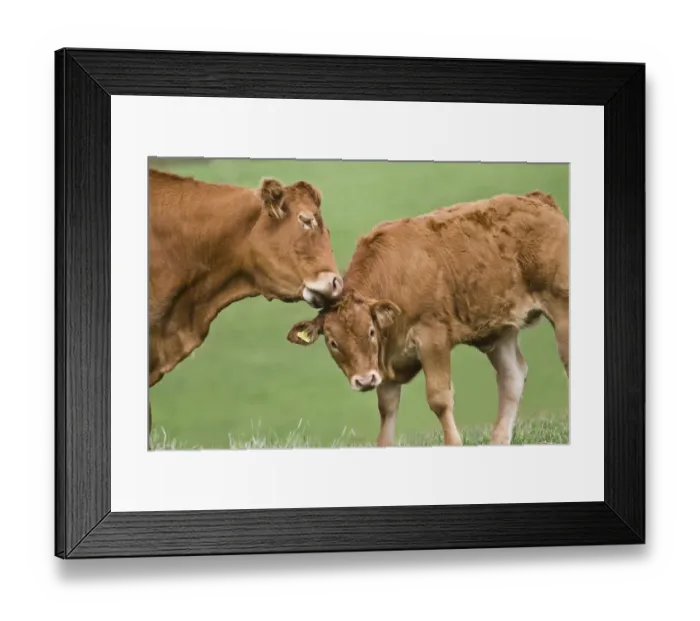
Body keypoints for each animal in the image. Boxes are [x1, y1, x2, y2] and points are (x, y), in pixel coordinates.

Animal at [285, 190, 569, 447]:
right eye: (333, 343)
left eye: (370, 332)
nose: (365, 380)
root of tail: (537, 199)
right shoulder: (385, 363)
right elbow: (387, 409)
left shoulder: (433, 337)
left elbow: (439, 399)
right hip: (500, 331)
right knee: (512, 377)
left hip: (561, 305)